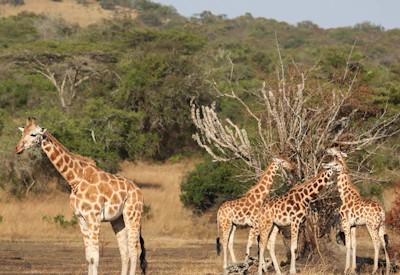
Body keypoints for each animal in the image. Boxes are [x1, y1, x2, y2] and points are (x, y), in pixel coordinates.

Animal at [16, 118, 147, 275]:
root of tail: (139, 191)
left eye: (33, 134)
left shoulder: (94, 217)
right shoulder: (81, 218)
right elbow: (89, 257)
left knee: (134, 251)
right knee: (125, 252)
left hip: (132, 215)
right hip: (117, 219)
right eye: (22, 133)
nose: (18, 148)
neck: (75, 179)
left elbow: (95, 257)